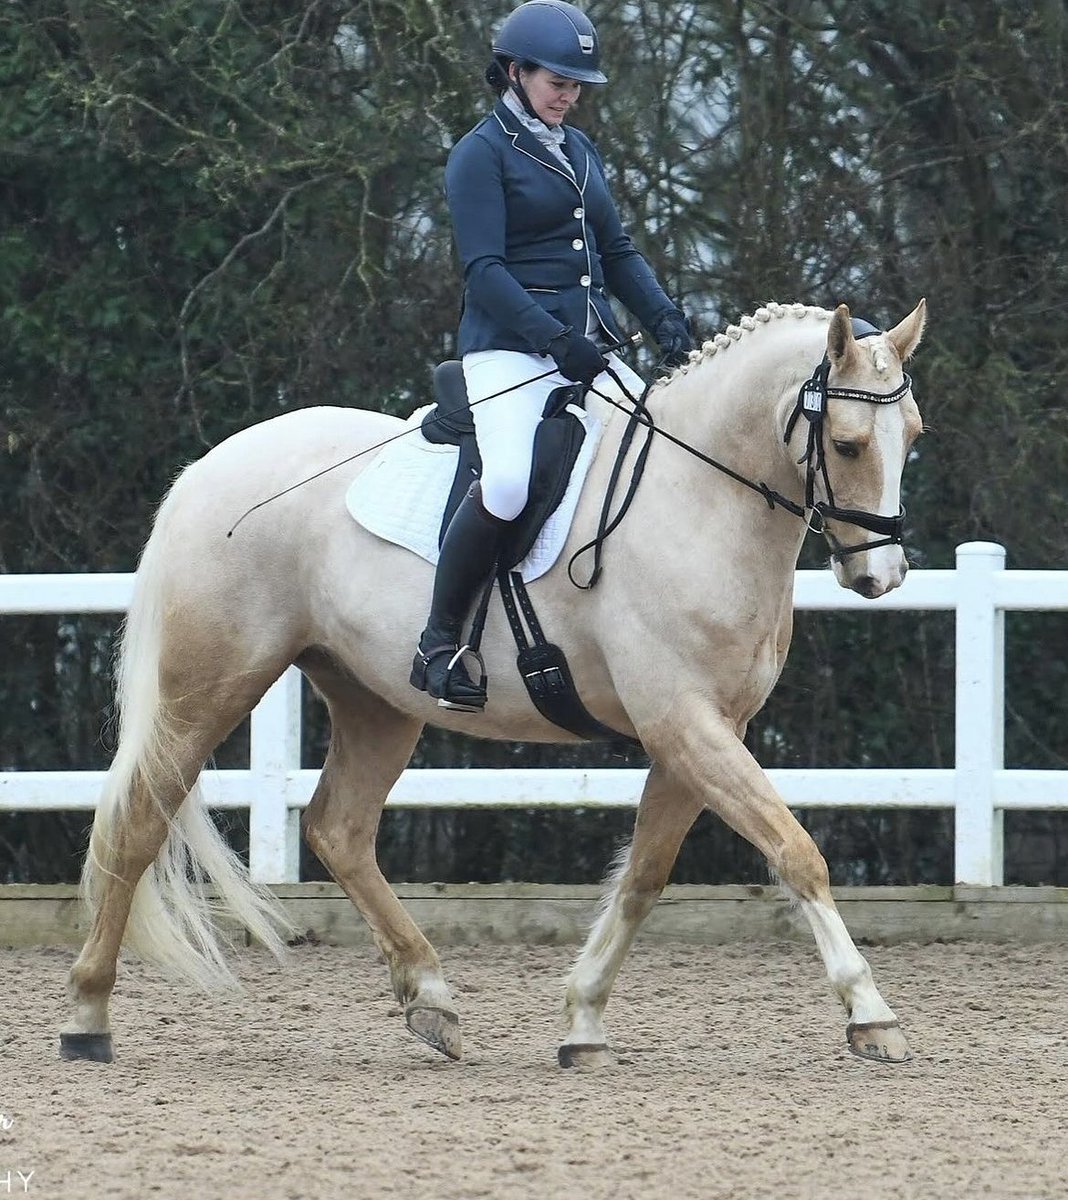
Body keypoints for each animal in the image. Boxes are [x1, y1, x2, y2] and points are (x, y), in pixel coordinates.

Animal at [60, 300, 926, 1070]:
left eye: (912, 436)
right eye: (848, 445)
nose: (879, 577)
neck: (698, 498)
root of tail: (208, 468)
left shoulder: (707, 730)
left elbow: (645, 876)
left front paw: (583, 1022)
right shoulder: (682, 721)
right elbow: (796, 851)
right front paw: (870, 1014)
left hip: (375, 701)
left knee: (339, 828)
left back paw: (431, 1001)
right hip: (210, 685)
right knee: (138, 823)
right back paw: (87, 1018)